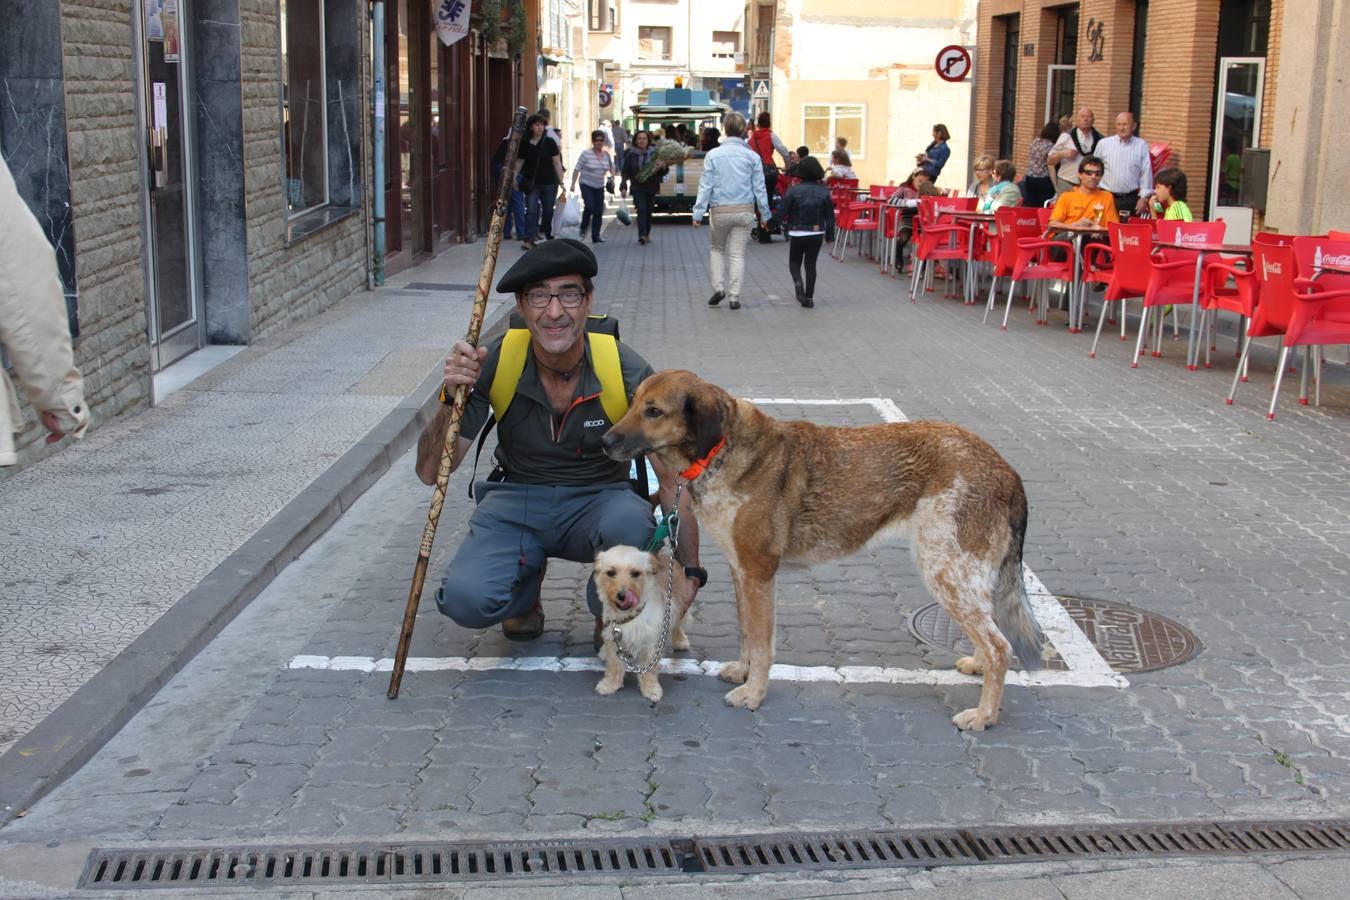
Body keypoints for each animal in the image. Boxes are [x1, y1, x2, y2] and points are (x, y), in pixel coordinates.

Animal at [594, 542, 691, 701]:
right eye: (611, 573)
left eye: (635, 573)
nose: (622, 595)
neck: (630, 617)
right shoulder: (613, 639)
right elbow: (614, 665)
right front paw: (610, 684)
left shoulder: (650, 644)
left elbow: (648, 670)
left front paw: (651, 689)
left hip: (679, 605)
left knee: (678, 625)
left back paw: (680, 641)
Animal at [607, 369, 1047, 728]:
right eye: (633, 402)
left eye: (654, 411)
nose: (605, 440)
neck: (721, 450)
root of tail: (1007, 470)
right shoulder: (741, 571)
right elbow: (748, 633)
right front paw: (743, 673)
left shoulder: (760, 573)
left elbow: (763, 644)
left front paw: (754, 694)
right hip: (962, 575)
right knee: (991, 638)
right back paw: (976, 666)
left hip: (944, 571)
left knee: (1000, 646)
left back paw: (984, 715)